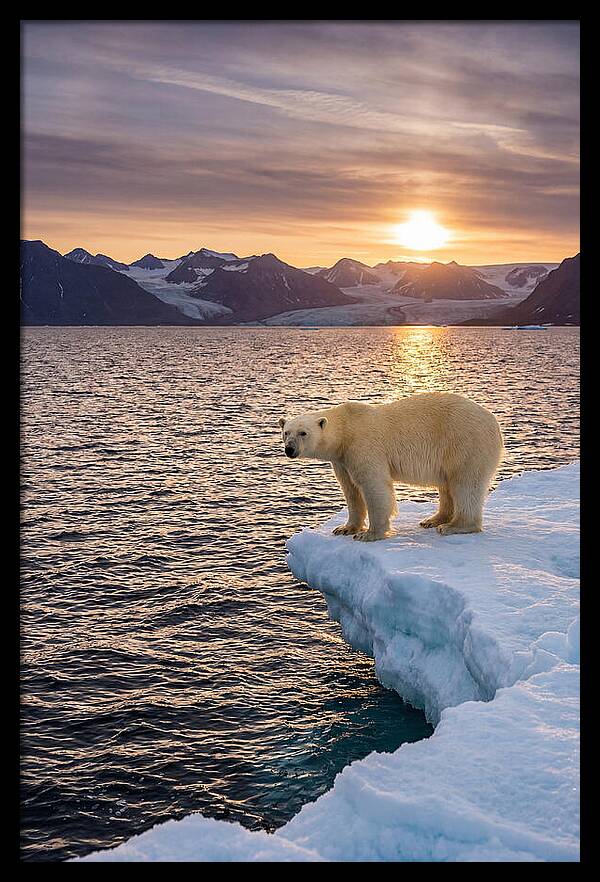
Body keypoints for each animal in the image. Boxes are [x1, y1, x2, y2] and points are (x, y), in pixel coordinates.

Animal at [279, 392, 504, 541]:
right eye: (286, 432)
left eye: (303, 433)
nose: (290, 449)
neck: (346, 429)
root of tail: (495, 422)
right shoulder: (342, 459)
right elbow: (350, 490)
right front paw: (345, 528)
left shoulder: (363, 446)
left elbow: (374, 486)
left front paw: (369, 534)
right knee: (447, 484)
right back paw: (433, 520)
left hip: (465, 443)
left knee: (465, 483)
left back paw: (453, 526)